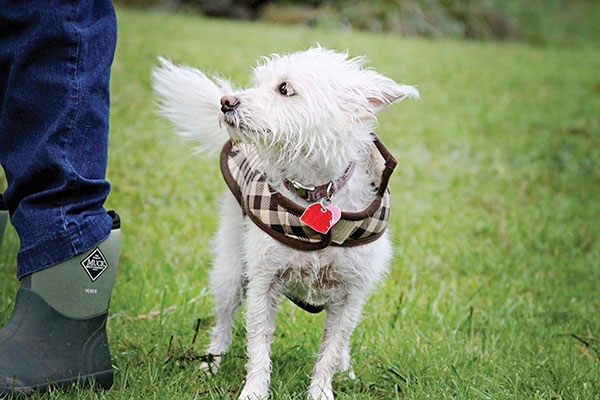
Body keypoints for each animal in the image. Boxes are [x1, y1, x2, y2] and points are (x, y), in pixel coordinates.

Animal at [152, 47, 420, 400]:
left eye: (284, 88)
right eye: (258, 83)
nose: (226, 101)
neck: (316, 192)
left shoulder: (351, 293)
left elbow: (331, 348)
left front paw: (322, 390)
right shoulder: (263, 282)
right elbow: (258, 346)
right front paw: (254, 391)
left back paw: (346, 370)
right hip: (230, 272)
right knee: (223, 322)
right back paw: (211, 363)